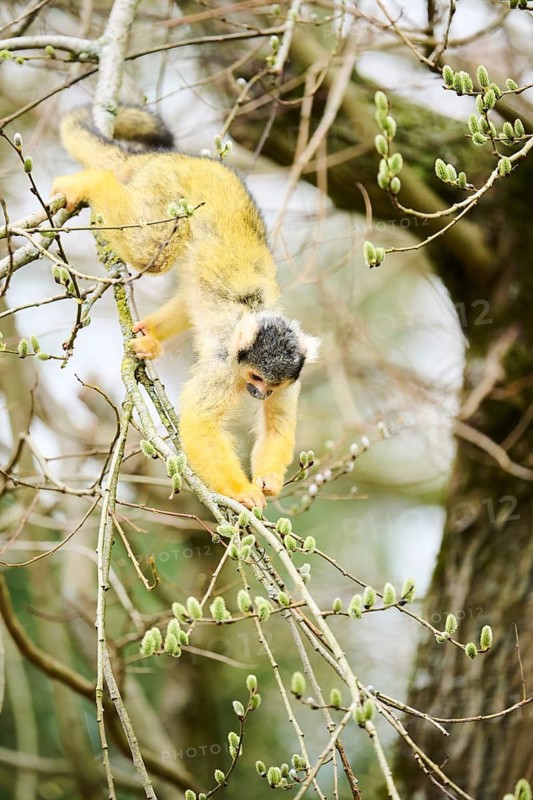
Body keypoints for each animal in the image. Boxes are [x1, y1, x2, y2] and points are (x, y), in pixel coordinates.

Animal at [52, 105, 319, 509]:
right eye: (256, 379)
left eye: (270, 386)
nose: (260, 394)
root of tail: (168, 157)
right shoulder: (224, 365)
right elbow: (199, 424)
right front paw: (242, 494)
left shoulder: (291, 379)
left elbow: (278, 426)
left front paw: (268, 482)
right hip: (162, 189)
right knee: (152, 248)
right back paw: (92, 181)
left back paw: (150, 335)